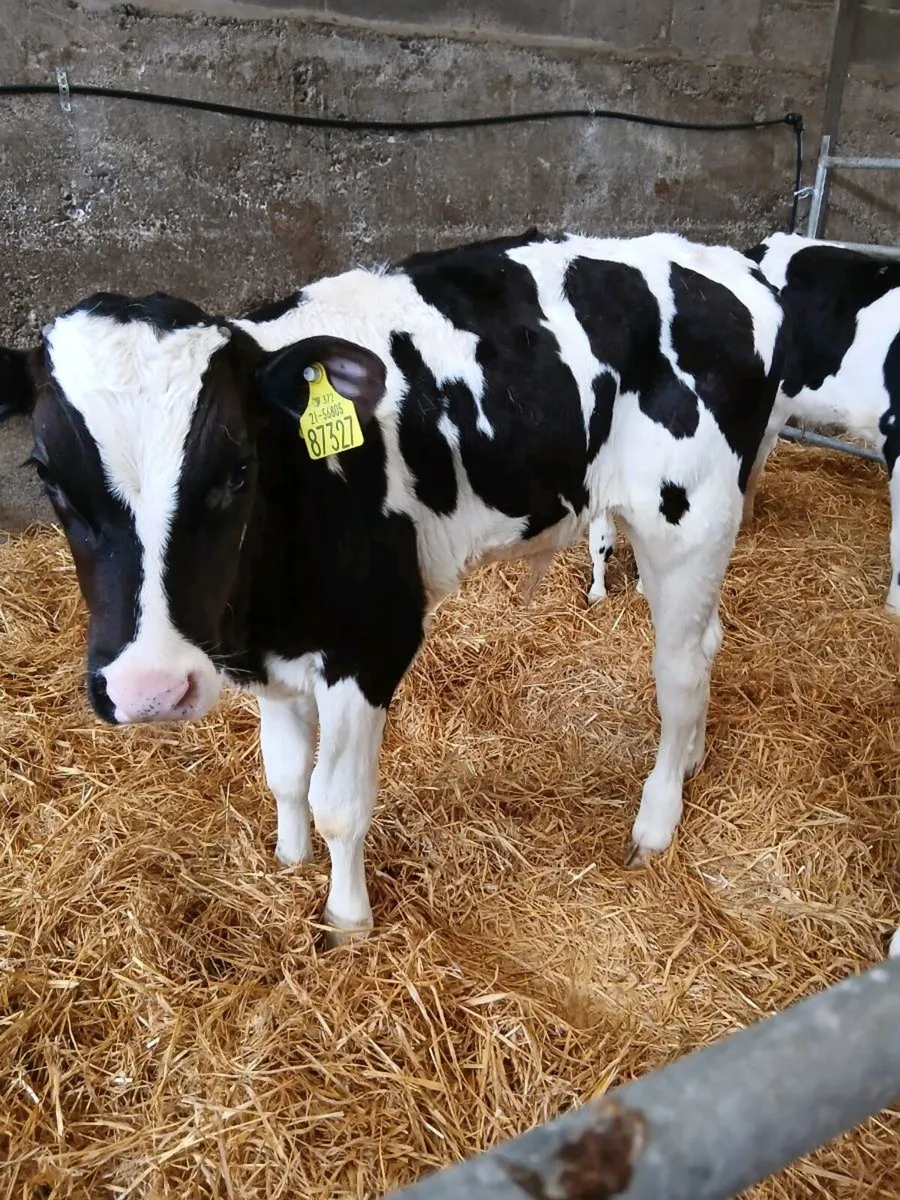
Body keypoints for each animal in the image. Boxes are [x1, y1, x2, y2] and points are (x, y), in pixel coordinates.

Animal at [0, 229, 786, 943]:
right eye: (47, 475)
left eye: (237, 468)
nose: (150, 690)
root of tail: (724, 262)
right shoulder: (266, 659)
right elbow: (285, 773)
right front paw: (288, 863)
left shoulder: (372, 644)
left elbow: (339, 802)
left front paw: (347, 920)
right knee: (706, 642)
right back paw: (693, 758)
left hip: (689, 516)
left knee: (677, 670)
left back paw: (656, 820)